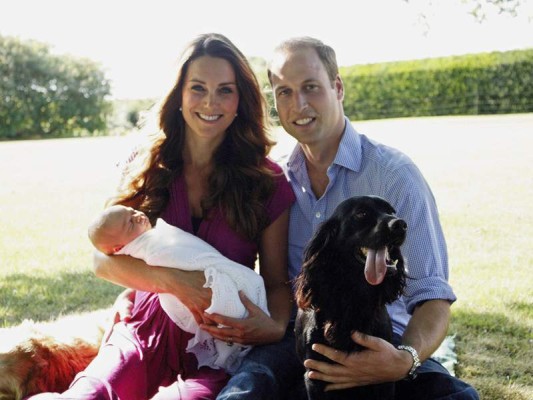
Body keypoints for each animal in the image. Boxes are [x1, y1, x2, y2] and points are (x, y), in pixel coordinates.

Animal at [294, 195, 406, 398]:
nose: (400, 224)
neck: (354, 296)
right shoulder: (314, 375)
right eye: (361, 213)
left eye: (392, 211)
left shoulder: (385, 373)